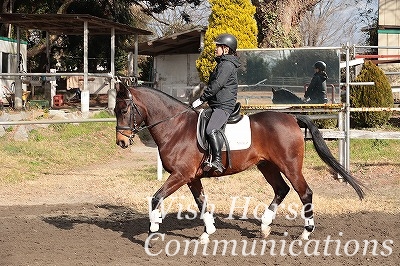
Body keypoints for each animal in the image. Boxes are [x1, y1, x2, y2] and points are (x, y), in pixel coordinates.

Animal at [114, 82, 364, 244]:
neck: (176, 127)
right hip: (267, 166)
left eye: (124, 109)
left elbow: (156, 198)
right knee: (281, 190)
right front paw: (207, 232)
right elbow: (202, 203)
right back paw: (264, 227)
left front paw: (153, 231)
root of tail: (291, 117)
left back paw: (305, 232)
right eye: (114, 110)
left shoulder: (180, 175)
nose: (121, 142)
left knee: (305, 193)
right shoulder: (191, 177)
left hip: (290, 166)